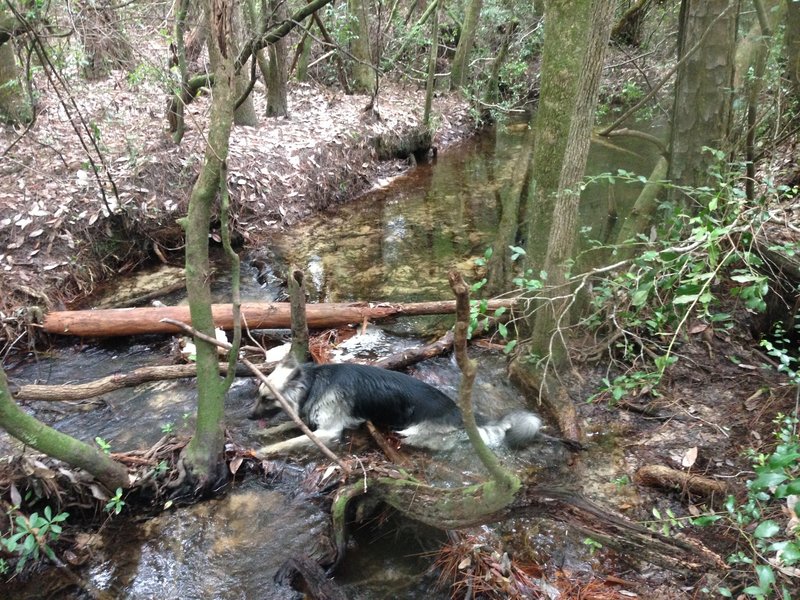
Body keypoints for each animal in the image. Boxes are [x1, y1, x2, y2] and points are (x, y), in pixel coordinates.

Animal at [247, 356, 580, 454]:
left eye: (266, 398)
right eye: (257, 395)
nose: (249, 417)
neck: (314, 382)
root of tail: (458, 411)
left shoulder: (328, 432)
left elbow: (292, 439)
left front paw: (263, 451)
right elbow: (288, 426)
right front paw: (263, 435)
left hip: (414, 434)